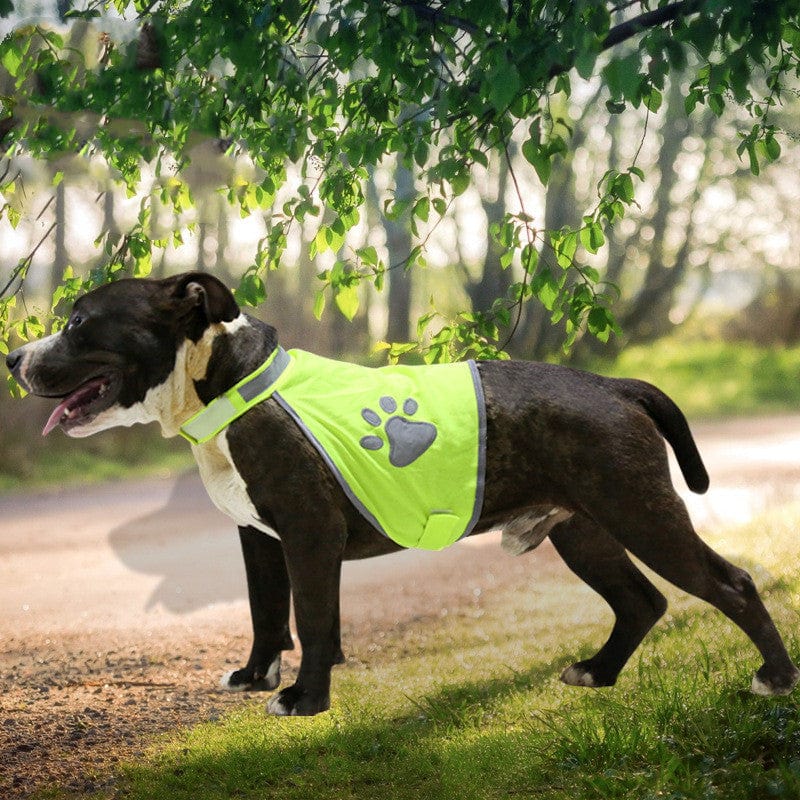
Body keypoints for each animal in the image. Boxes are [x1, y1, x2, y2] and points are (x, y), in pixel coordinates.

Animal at [4, 272, 792, 716]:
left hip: (641, 512)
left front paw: (305, 700)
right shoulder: (259, 540)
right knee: (640, 601)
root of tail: (613, 385)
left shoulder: (308, 536)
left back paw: (775, 678)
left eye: (77, 323)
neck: (227, 379)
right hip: (583, 528)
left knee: (731, 584)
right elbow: (268, 615)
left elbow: (314, 619)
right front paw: (258, 678)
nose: (13, 356)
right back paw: (597, 673)